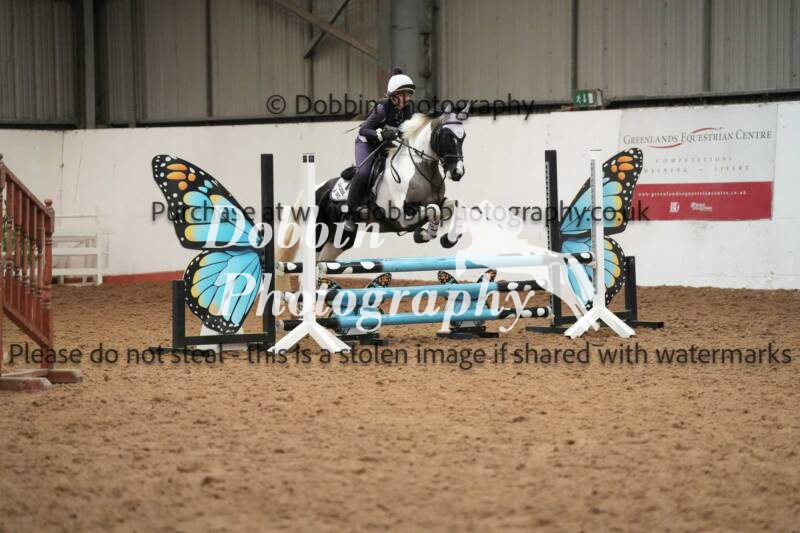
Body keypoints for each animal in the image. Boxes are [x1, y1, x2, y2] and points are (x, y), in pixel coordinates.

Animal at [276, 104, 470, 282]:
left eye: (463, 137)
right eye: (446, 136)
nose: (458, 173)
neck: (418, 169)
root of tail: (316, 188)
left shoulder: (438, 201)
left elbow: (454, 205)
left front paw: (447, 239)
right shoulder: (401, 217)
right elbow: (433, 210)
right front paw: (423, 234)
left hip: (339, 240)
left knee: (322, 265)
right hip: (318, 235)